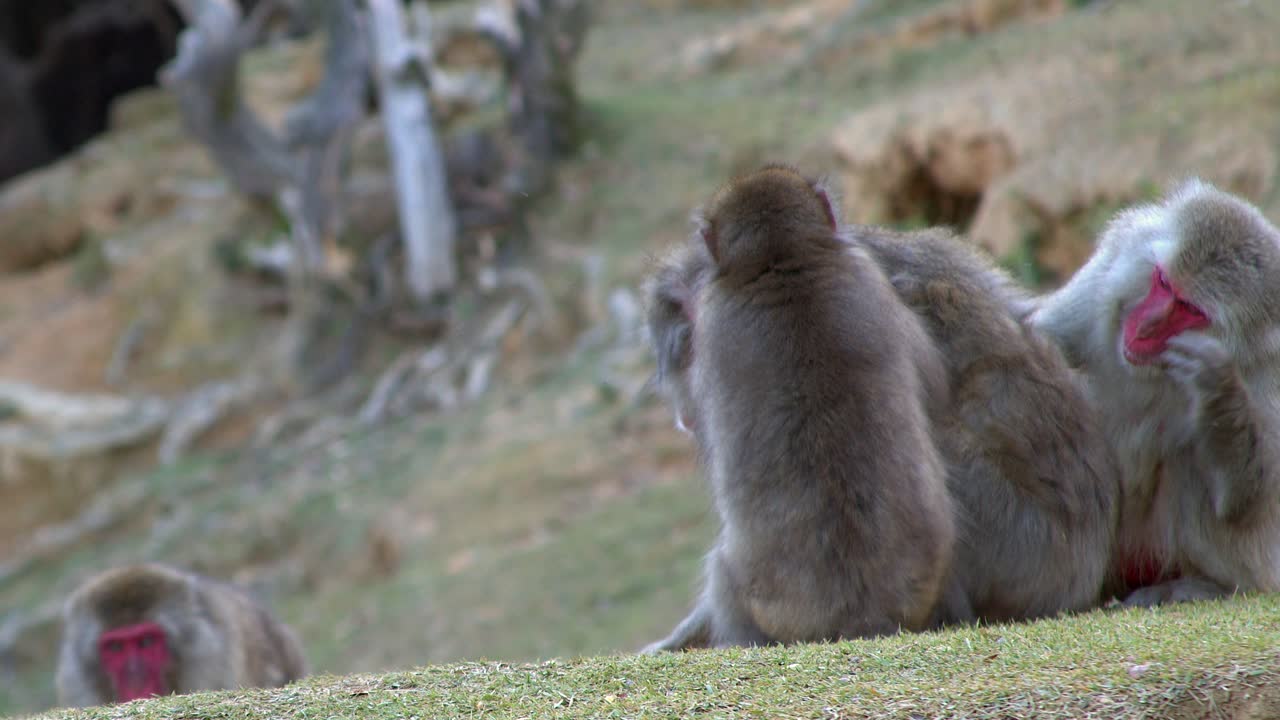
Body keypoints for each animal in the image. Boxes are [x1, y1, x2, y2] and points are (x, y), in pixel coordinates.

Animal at [642, 165, 955, 652]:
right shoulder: (869, 278)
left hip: (750, 595)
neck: (781, 256)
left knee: (722, 573)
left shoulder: (711, 322)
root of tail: (863, 617)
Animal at [1029, 179, 1280, 607]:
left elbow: (1248, 503)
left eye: (1189, 309)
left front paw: (1219, 390)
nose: (1145, 325)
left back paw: (1207, 585)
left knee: (1189, 459)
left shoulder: (1271, 373)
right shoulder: (1107, 272)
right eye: (1163, 283)